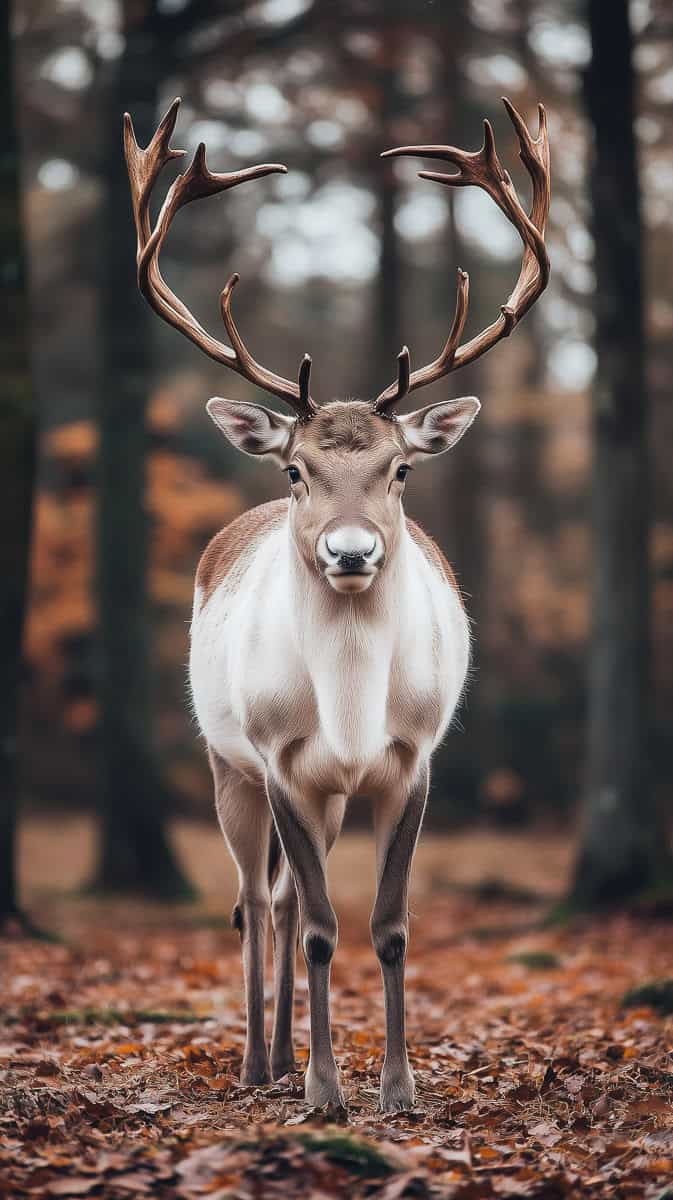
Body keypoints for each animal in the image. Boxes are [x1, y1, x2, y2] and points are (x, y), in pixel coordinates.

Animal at [124, 95, 550, 1112]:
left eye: (400, 469)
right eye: (295, 469)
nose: (350, 552)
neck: (352, 711)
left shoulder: (415, 756)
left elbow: (387, 924)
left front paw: (396, 1087)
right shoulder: (279, 759)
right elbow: (320, 924)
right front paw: (324, 1089)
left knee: (278, 900)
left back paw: (281, 1055)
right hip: (226, 763)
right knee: (256, 900)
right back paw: (259, 1063)